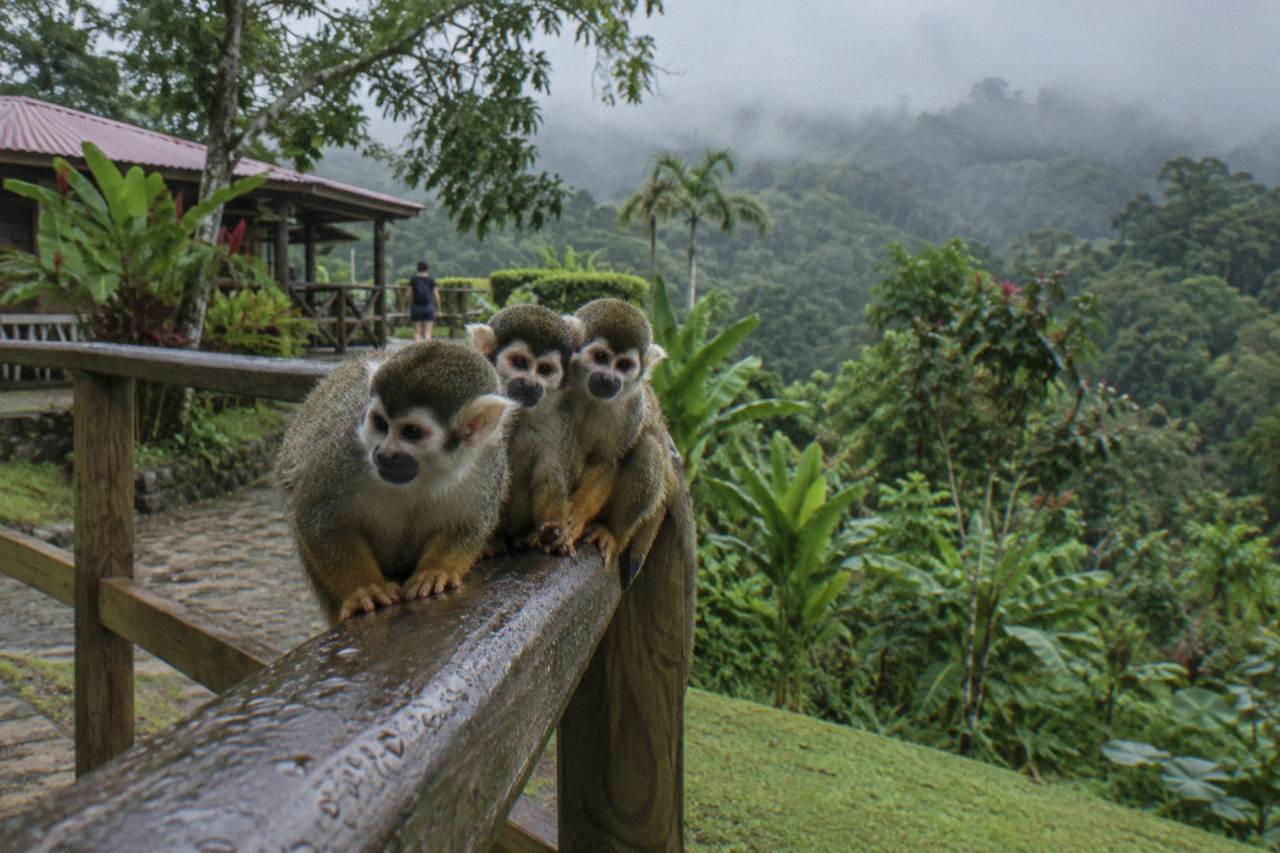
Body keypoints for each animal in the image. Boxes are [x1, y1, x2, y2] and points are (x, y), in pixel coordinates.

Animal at [273, 340, 516, 624]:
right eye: (380, 423)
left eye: (411, 432)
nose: (384, 454)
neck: (425, 476)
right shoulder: (343, 451)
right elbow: (319, 519)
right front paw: (364, 588)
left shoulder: (486, 463)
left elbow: (468, 525)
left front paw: (436, 571)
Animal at [467, 304, 586, 553]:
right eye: (520, 363)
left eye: (545, 369)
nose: (530, 384)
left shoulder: (556, 420)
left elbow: (549, 476)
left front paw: (555, 530)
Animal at [540, 298, 679, 569]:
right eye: (601, 357)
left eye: (624, 365)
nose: (608, 378)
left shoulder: (631, 408)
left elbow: (607, 460)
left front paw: (575, 517)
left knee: (649, 448)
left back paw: (613, 533)